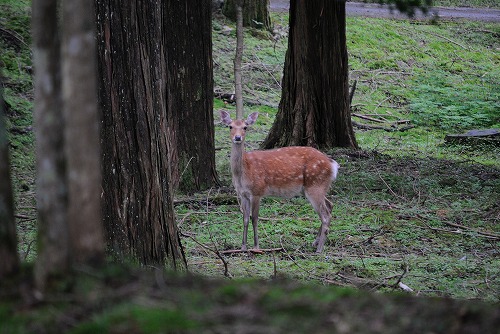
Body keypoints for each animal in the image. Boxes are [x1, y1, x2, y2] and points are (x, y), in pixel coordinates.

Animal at [222, 110, 342, 253]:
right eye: (230, 126)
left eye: (245, 127)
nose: (238, 138)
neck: (243, 171)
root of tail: (333, 165)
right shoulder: (243, 194)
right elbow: (245, 218)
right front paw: (243, 247)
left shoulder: (257, 191)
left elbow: (254, 218)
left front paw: (256, 247)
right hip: (317, 187)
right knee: (330, 205)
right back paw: (315, 242)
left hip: (316, 185)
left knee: (325, 215)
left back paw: (319, 249)